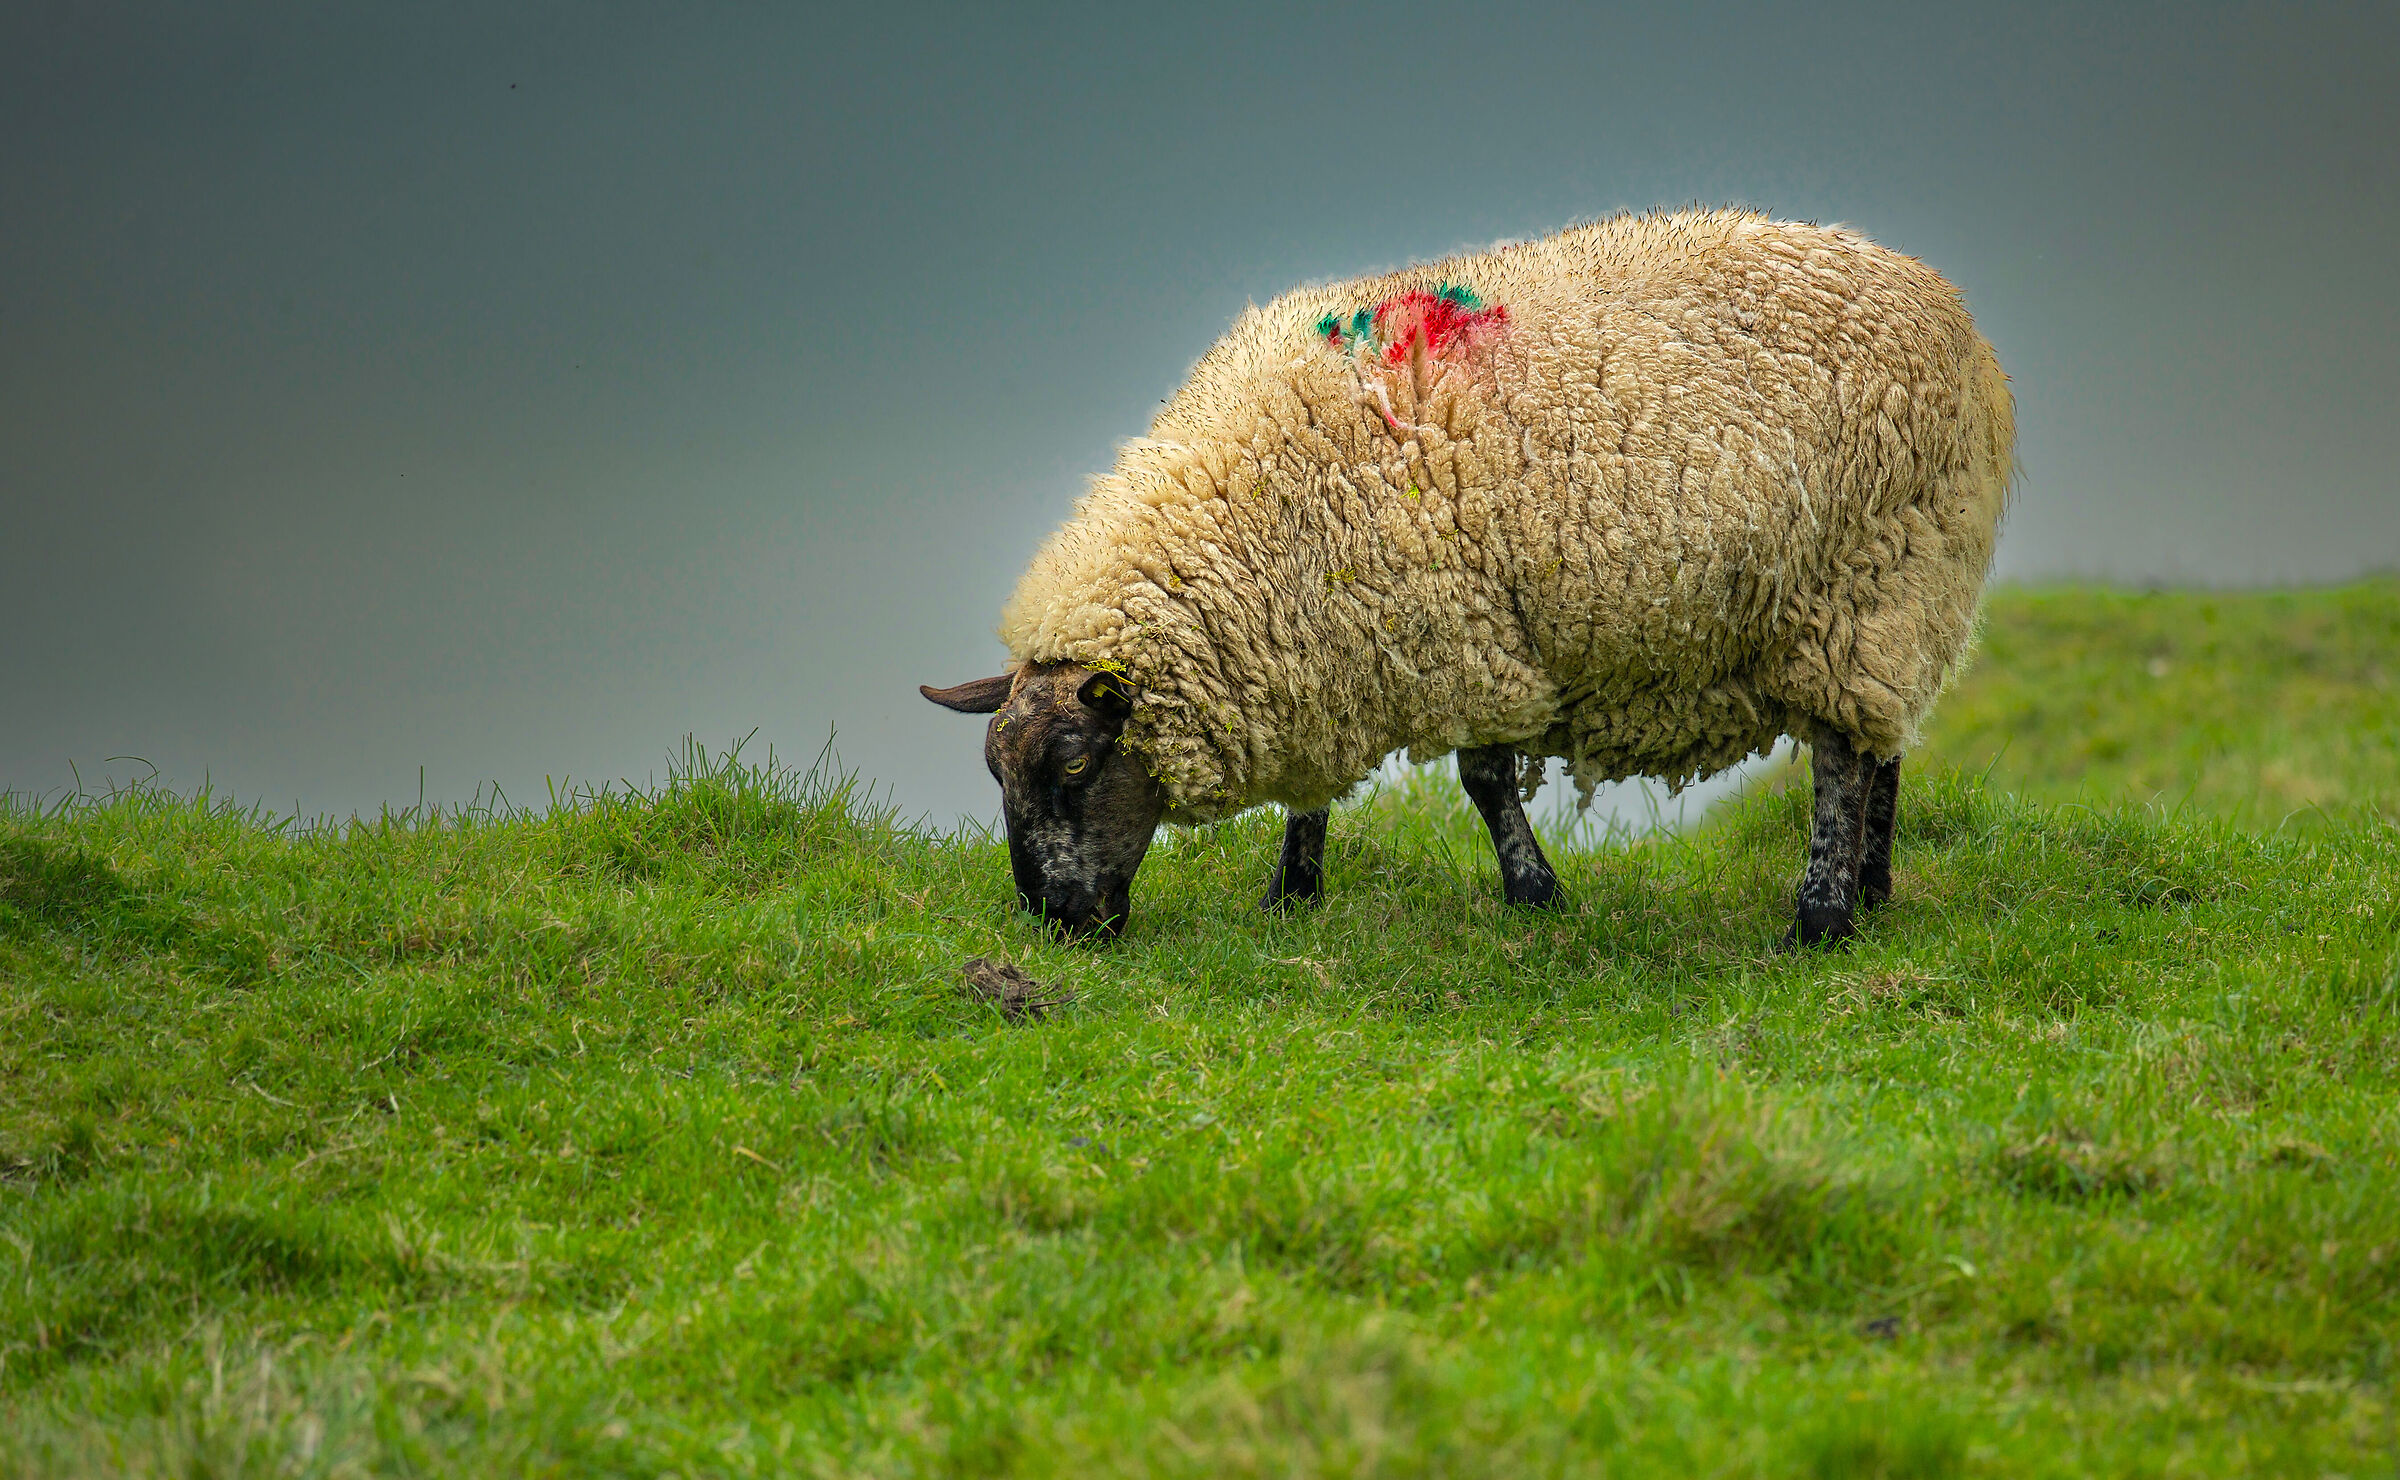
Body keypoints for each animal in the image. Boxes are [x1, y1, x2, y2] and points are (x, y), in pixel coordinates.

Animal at [924, 207, 2014, 940]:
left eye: (1075, 765)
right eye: (995, 771)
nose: (1057, 921)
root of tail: (1947, 304)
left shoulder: (1463, 627)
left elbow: (1484, 780)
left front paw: (1536, 893)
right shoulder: (1324, 634)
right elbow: (1313, 794)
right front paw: (1293, 893)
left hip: (1875, 570)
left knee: (1842, 754)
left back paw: (1820, 917)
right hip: (1896, 596)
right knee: (1882, 744)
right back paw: (1872, 886)